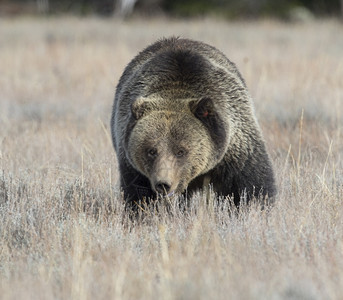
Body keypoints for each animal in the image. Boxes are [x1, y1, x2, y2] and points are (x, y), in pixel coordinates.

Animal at [110, 36, 276, 207]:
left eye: (181, 151)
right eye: (151, 150)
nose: (163, 184)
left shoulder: (235, 150)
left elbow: (249, 187)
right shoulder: (133, 167)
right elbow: (140, 195)